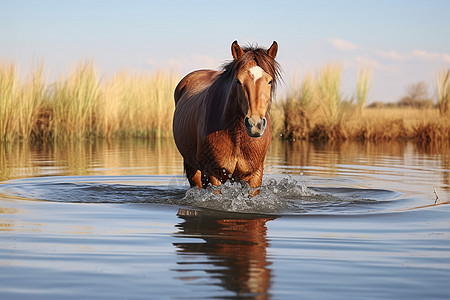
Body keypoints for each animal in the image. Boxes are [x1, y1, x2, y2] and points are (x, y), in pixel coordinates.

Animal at [174, 40, 280, 190]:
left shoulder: (255, 176)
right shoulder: (213, 175)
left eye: (269, 81)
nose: (255, 125)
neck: (237, 136)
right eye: (238, 81)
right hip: (192, 168)